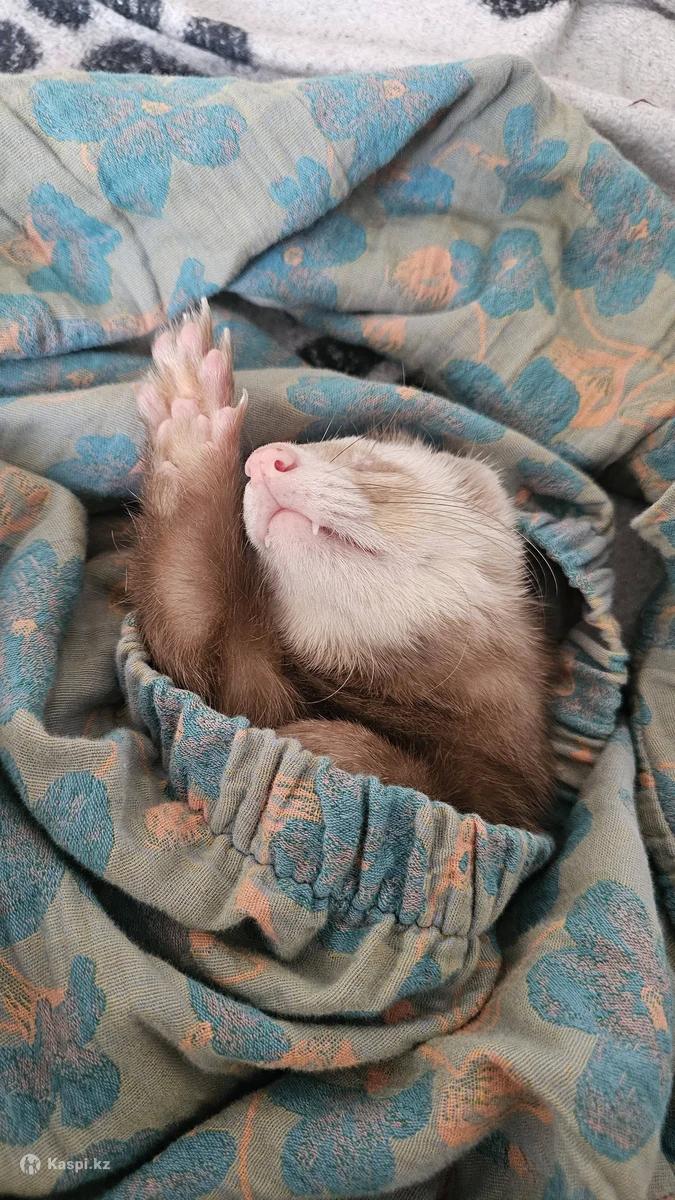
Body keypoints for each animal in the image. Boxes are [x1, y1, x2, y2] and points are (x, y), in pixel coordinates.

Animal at [129, 302, 553, 831]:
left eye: (373, 463)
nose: (265, 459)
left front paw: (320, 743)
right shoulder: (237, 677)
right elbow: (187, 614)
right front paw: (189, 418)